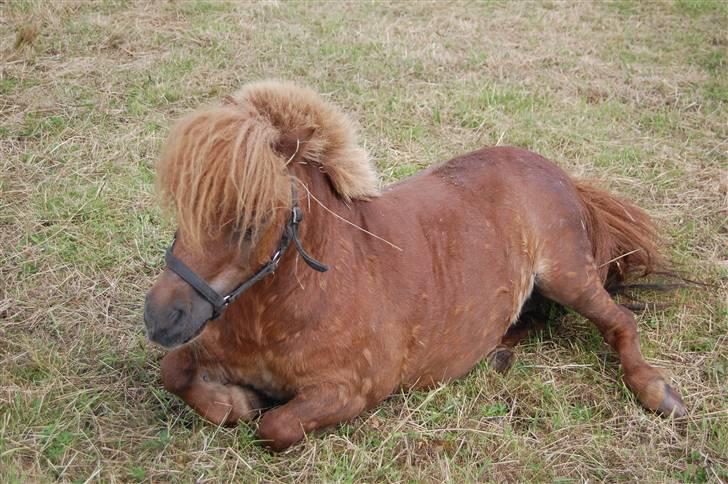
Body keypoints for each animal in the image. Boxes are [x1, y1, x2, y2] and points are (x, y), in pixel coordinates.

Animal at [144, 80, 688, 454]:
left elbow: (273, 427)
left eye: (251, 219)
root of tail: (559, 174)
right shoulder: (210, 346)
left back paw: (657, 391)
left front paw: (243, 406)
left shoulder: (350, 390)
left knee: (619, 321)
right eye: (183, 206)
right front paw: (234, 401)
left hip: (568, 275)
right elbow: (174, 369)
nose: (160, 317)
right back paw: (499, 351)